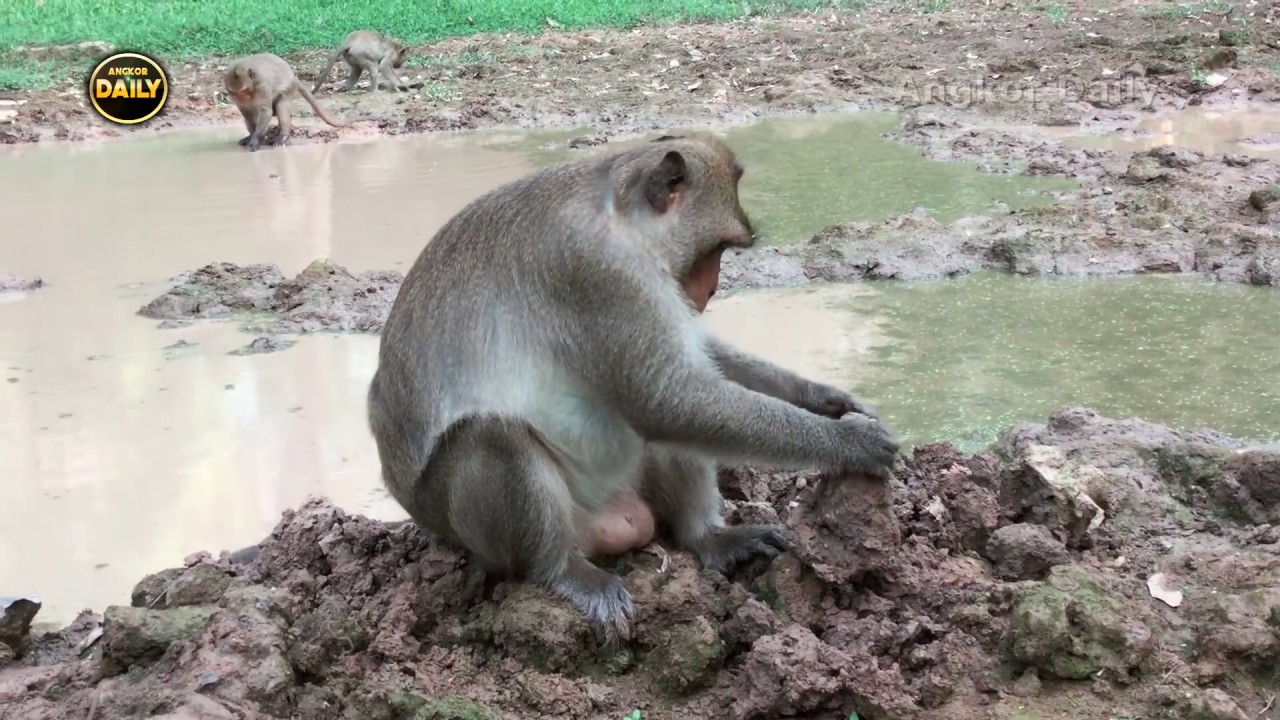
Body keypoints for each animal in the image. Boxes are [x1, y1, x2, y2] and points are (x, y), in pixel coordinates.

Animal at [366, 133, 899, 643]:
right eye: (717, 250)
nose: (711, 287)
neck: (619, 214)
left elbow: (686, 370)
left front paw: (824, 397)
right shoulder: (598, 273)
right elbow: (667, 400)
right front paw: (850, 442)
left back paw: (707, 539)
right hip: (487, 529)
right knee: (494, 436)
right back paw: (561, 570)